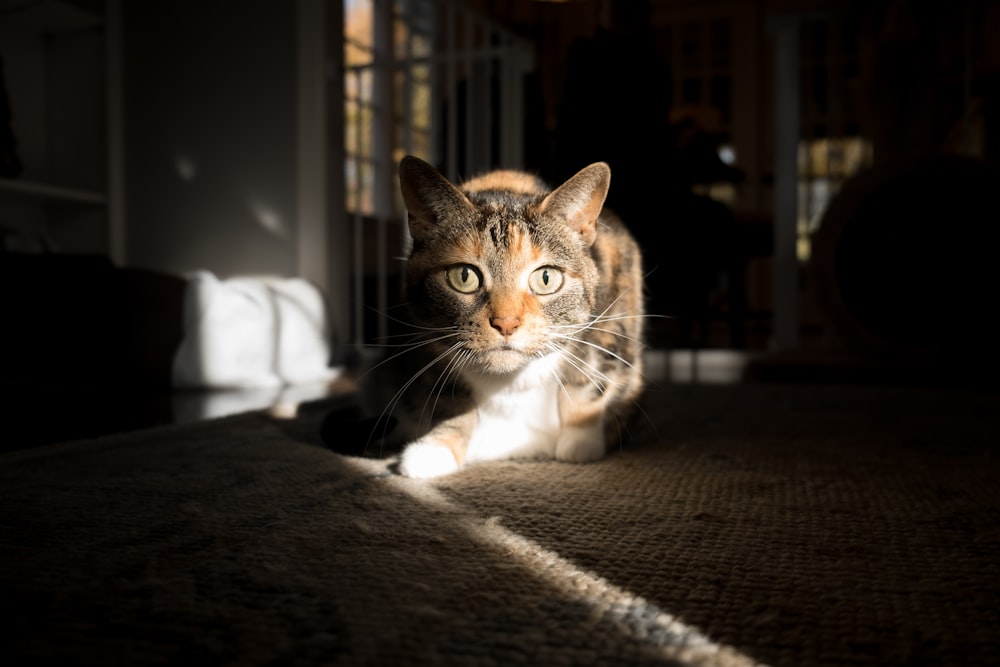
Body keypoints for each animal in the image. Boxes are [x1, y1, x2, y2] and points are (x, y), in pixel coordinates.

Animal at [324, 155, 644, 480]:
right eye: (464, 276)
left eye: (546, 278)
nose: (506, 323)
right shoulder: (424, 342)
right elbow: (447, 394)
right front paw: (435, 447)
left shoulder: (614, 309)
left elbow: (591, 377)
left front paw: (580, 438)